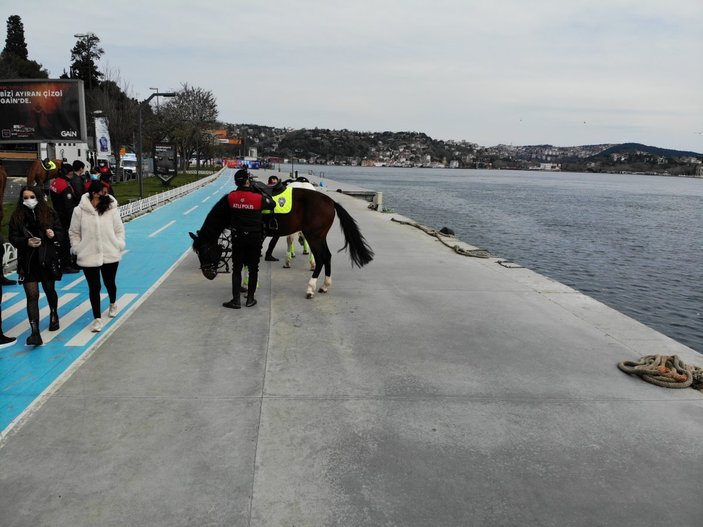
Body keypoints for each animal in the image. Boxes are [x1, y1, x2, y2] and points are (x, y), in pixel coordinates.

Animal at [187, 188, 374, 300]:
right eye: (198, 253)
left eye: (205, 251)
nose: (208, 274)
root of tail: (330, 201)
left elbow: (248, 262)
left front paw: (247, 285)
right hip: (320, 236)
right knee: (327, 257)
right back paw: (324, 286)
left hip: (313, 236)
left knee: (321, 259)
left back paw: (310, 288)